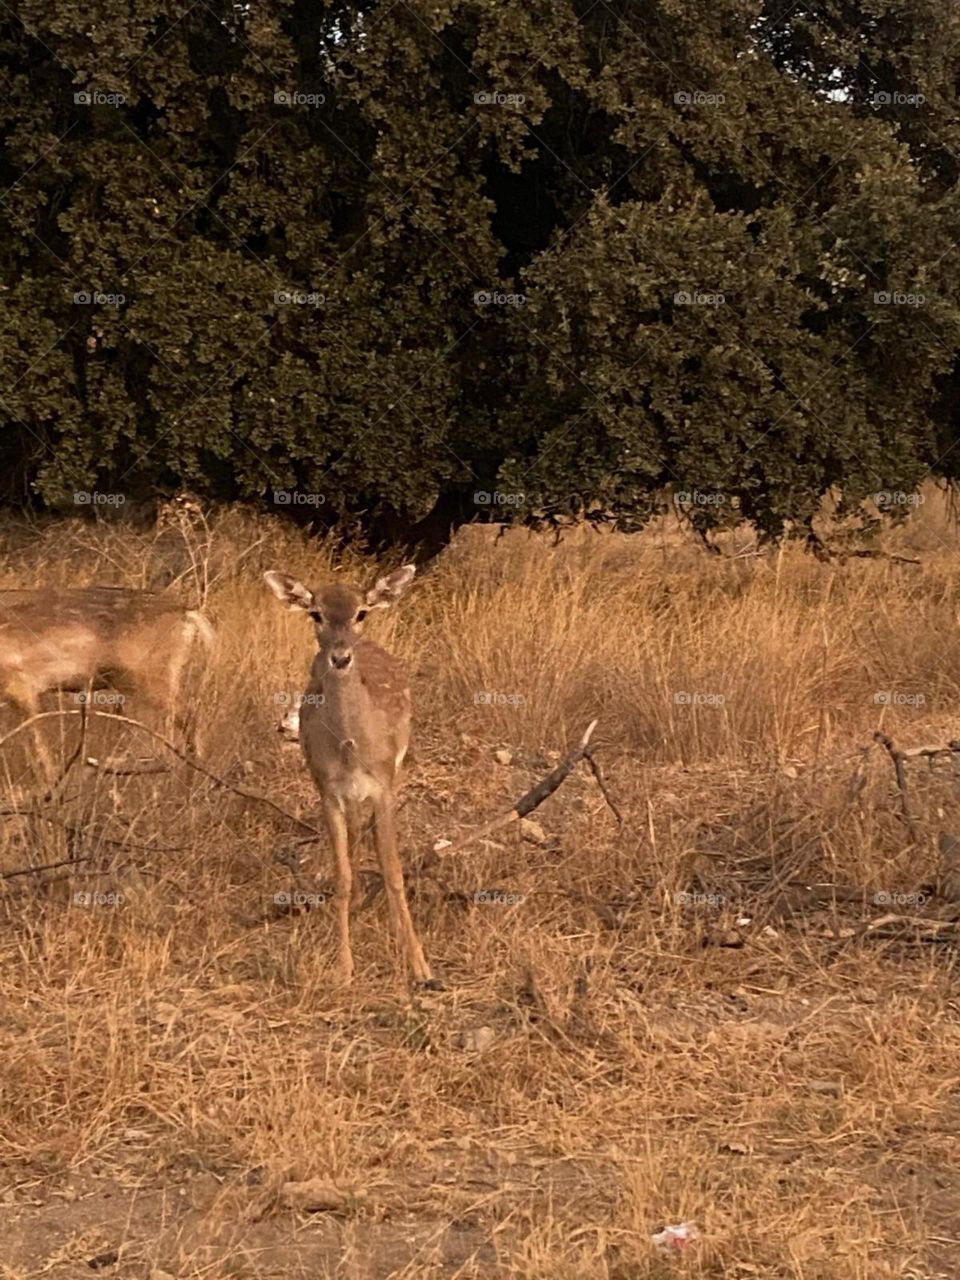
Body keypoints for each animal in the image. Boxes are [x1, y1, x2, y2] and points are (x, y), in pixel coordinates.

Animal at [264, 564, 433, 986]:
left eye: (361, 612)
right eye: (316, 613)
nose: (340, 657)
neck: (352, 748)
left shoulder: (384, 786)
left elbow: (394, 872)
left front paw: (419, 965)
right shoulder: (327, 790)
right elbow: (340, 877)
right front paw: (344, 967)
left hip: (396, 770)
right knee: (356, 835)